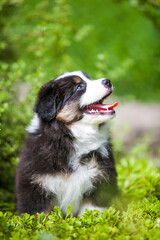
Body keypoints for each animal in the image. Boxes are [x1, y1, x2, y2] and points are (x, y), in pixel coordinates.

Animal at [15, 70, 119, 217]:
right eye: (79, 87)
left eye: (89, 78)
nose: (107, 81)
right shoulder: (35, 185)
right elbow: (38, 215)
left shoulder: (101, 181)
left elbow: (92, 212)